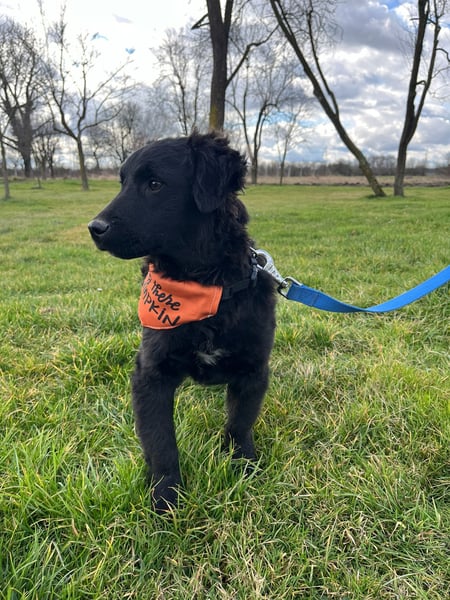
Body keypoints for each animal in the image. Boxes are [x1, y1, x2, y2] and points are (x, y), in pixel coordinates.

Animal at [88, 131, 276, 513]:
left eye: (155, 184)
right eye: (122, 182)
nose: (94, 228)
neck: (205, 289)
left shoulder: (254, 369)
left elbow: (240, 423)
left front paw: (243, 467)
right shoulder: (150, 373)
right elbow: (160, 441)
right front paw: (166, 497)